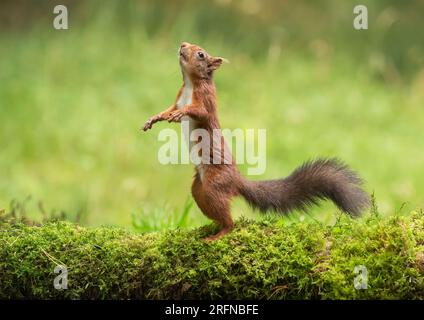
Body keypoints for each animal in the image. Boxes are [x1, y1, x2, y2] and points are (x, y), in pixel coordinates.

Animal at [142, 42, 368, 241]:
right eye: (188, 44)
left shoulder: (206, 100)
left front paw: (181, 114)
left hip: (214, 186)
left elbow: (198, 111)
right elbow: (168, 110)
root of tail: (237, 179)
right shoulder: (178, 98)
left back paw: (219, 234)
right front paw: (154, 119)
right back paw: (213, 227)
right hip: (199, 190)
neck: (190, 84)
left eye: (201, 54)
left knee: (230, 222)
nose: (182, 45)